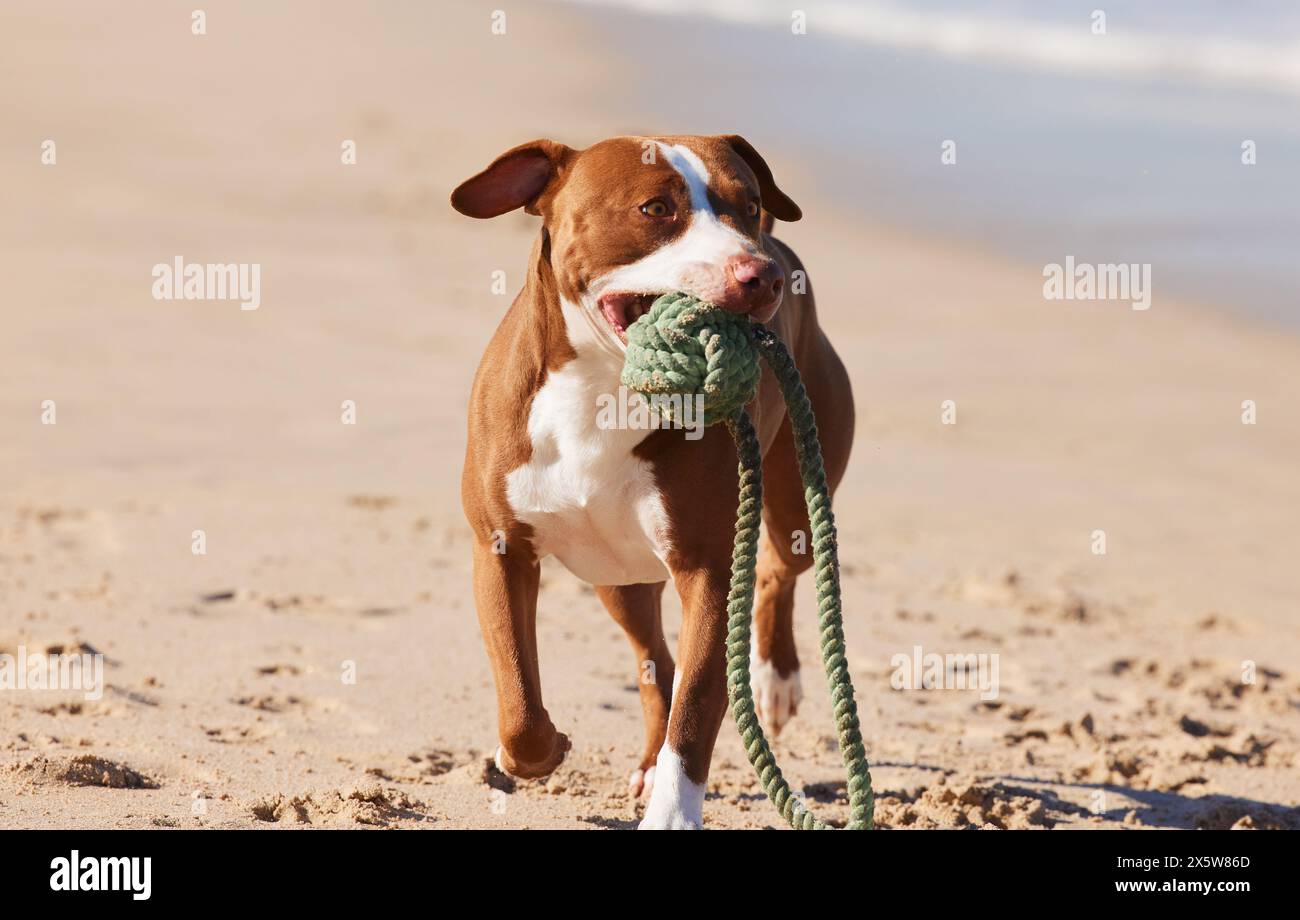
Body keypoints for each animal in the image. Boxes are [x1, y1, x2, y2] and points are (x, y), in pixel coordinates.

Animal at [449, 136, 852, 831]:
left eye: (749, 204)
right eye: (656, 208)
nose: (761, 275)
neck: (603, 392)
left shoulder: (710, 570)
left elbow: (696, 705)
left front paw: (674, 813)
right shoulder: (500, 548)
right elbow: (519, 698)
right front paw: (540, 750)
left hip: (794, 492)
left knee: (780, 570)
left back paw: (774, 682)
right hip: (620, 579)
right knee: (655, 661)